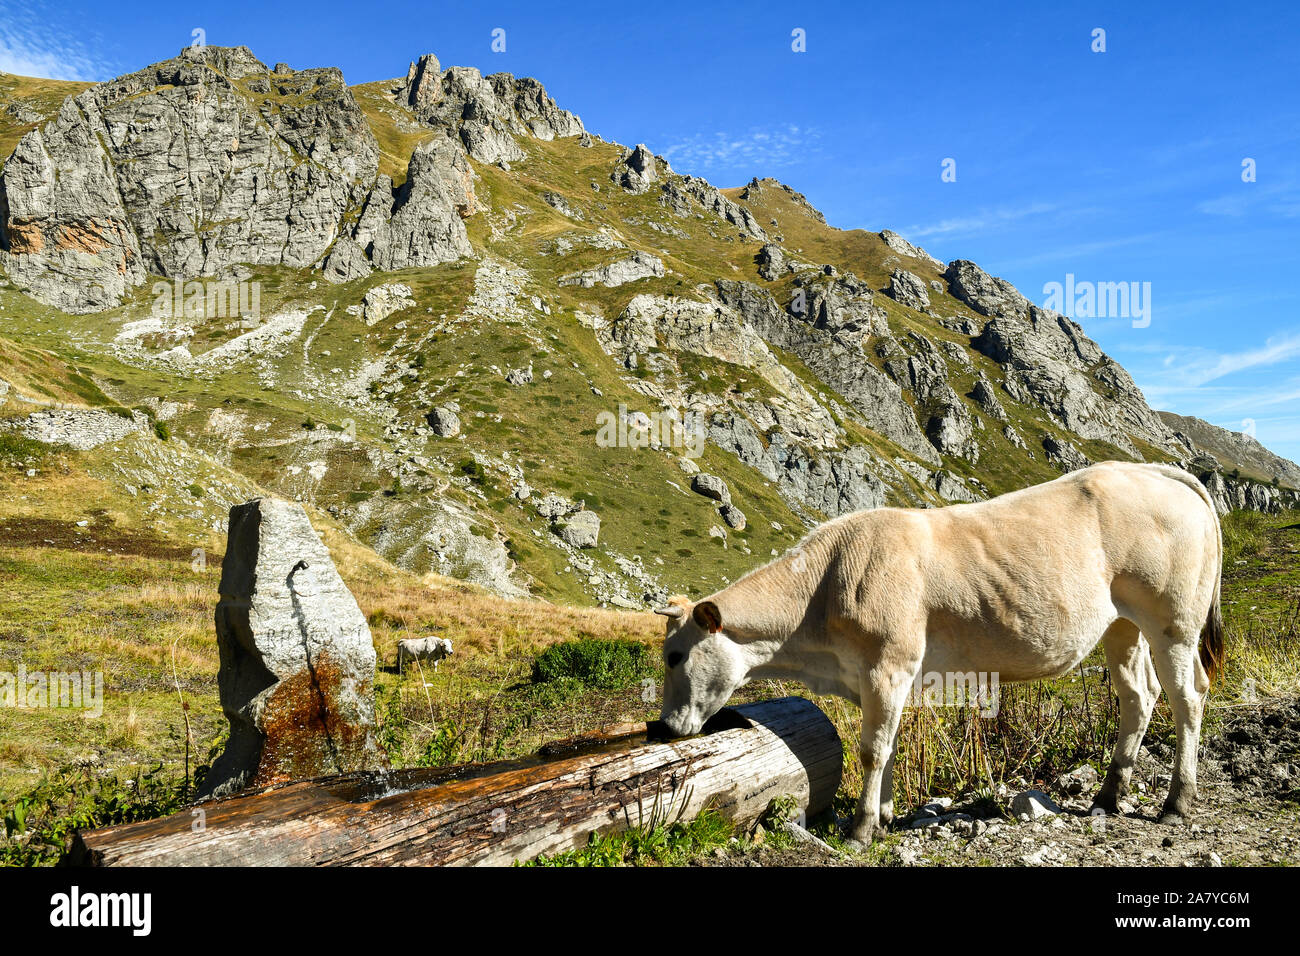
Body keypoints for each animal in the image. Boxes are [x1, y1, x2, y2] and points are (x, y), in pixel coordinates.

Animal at [655, 462, 1224, 845]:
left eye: (675, 656)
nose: (665, 727)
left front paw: (861, 829)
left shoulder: (889, 662)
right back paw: (1108, 795)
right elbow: (888, 744)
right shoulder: (874, 674)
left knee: (1188, 696)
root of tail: (1153, 469)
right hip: (1122, 625)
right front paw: (884, 817)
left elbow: (873, 749)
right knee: (1140, 696)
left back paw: (1177, 801)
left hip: (1174, 620)